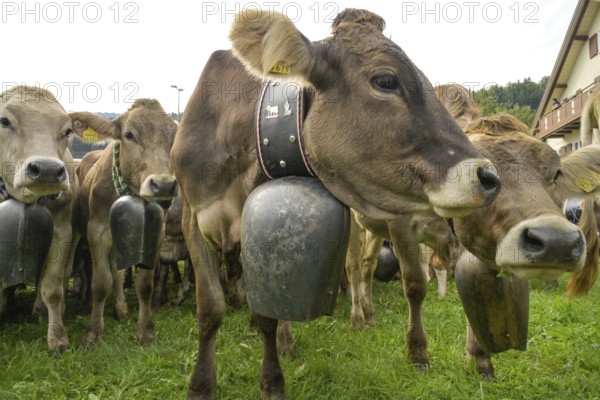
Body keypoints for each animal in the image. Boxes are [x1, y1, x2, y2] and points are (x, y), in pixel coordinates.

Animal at [0, 85, 79, 354]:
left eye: (67, 131)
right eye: (4, 121)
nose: (46, 169)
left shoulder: (62, 230)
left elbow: (52, 289)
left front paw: (57, 339)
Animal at [70, 100, 177, 346]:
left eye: (174, 136)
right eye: (129, 135)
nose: (164, 185)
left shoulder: (156, 234)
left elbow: (145, 284)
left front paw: (146, 331)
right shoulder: (96, 233)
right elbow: (101, 283)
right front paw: (92, 333)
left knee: (117, 272)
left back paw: (120, 308)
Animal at [171, 9, 504, 400]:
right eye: (386, 80)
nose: (488, 176)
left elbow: (268, 312)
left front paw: (272, 380)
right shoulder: (193, 217)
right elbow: (210, 308)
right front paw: (200, 385)